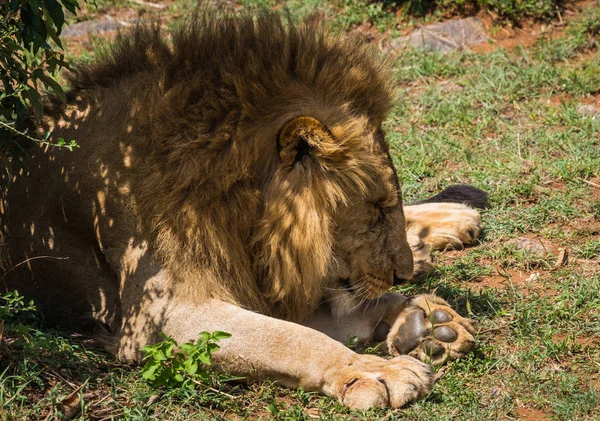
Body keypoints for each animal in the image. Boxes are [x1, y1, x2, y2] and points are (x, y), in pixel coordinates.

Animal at [0, 12, 486, 406]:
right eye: (378, 208)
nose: (401, 275)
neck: (238, 212)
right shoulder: (161, 316)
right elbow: (294, 339)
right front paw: (377, 368)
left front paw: (426, 322)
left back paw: (453, 221)